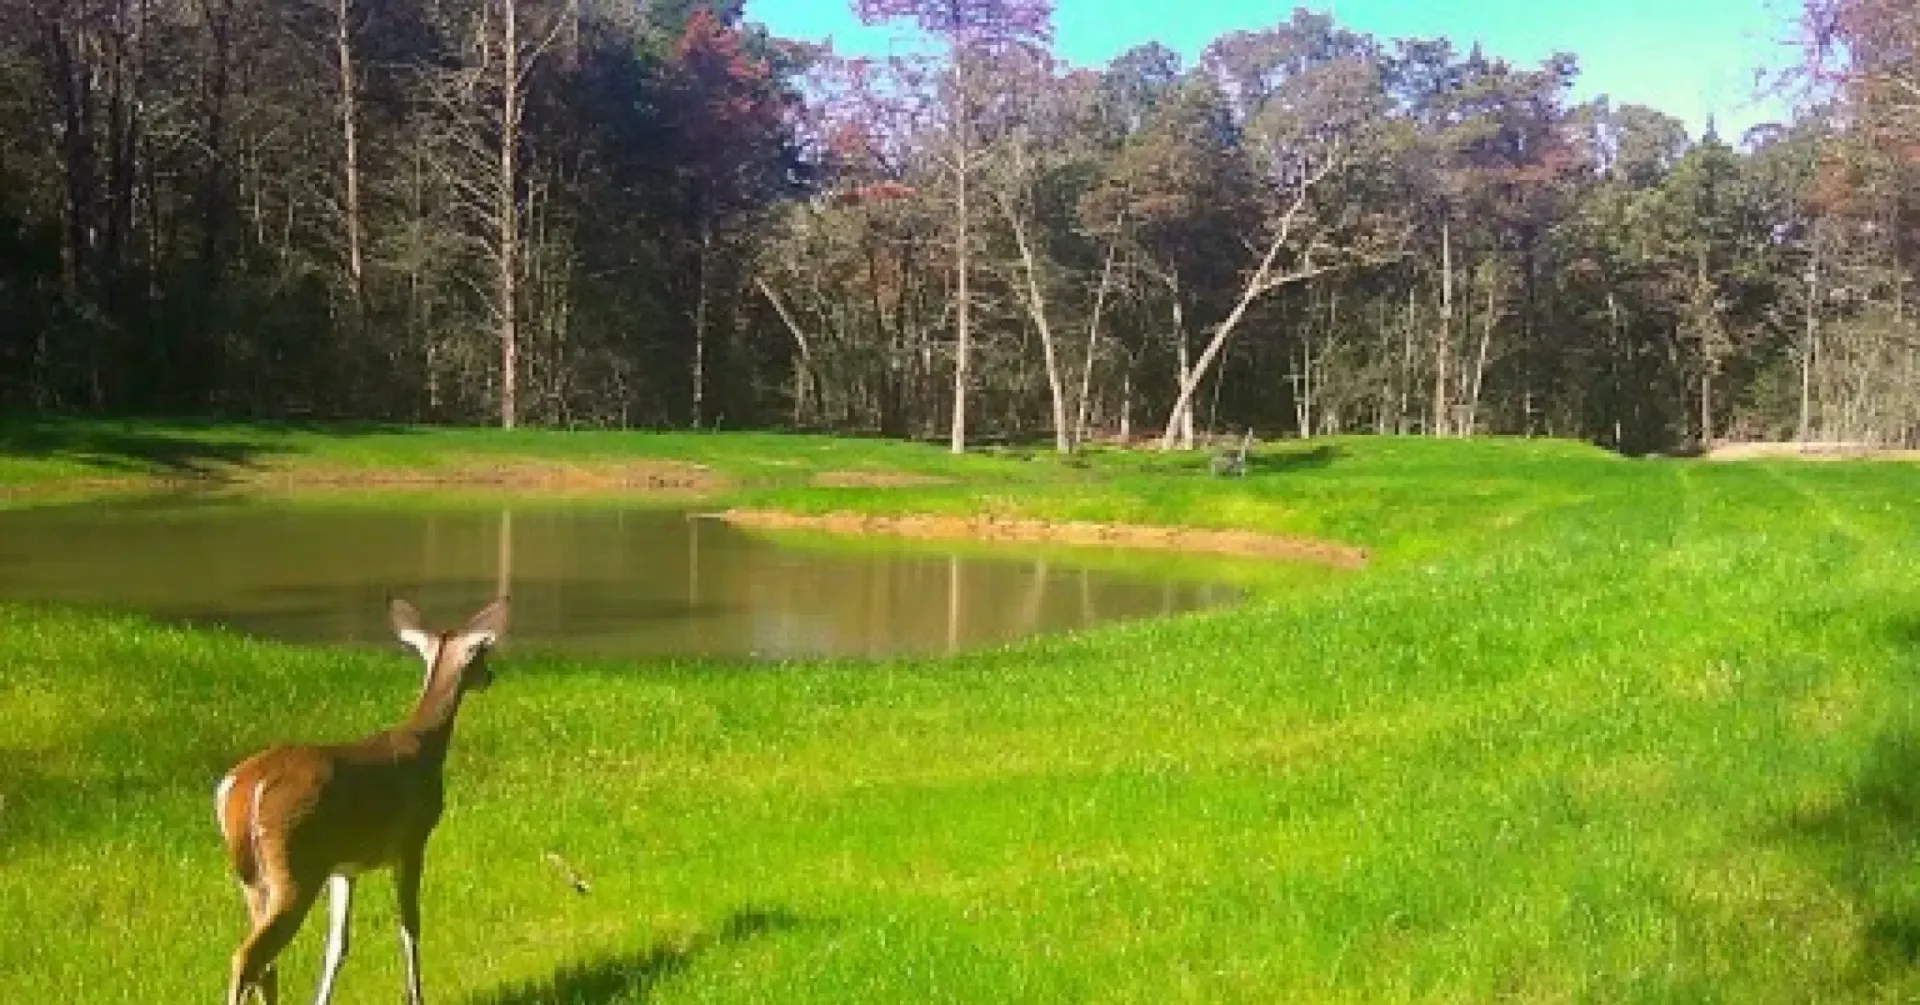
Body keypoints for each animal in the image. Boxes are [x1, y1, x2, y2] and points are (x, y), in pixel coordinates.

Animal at [213, 596, 510, 1005]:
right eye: (481, 654)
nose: (491, 676)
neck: (425, 744)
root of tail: (244, 785)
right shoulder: (412, 839)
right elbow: (409, 924)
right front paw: (416, 996)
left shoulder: (345, 866)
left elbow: (338, 944)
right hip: (296, 862)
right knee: (248, 956)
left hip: (255, 878)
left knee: (267, 963)